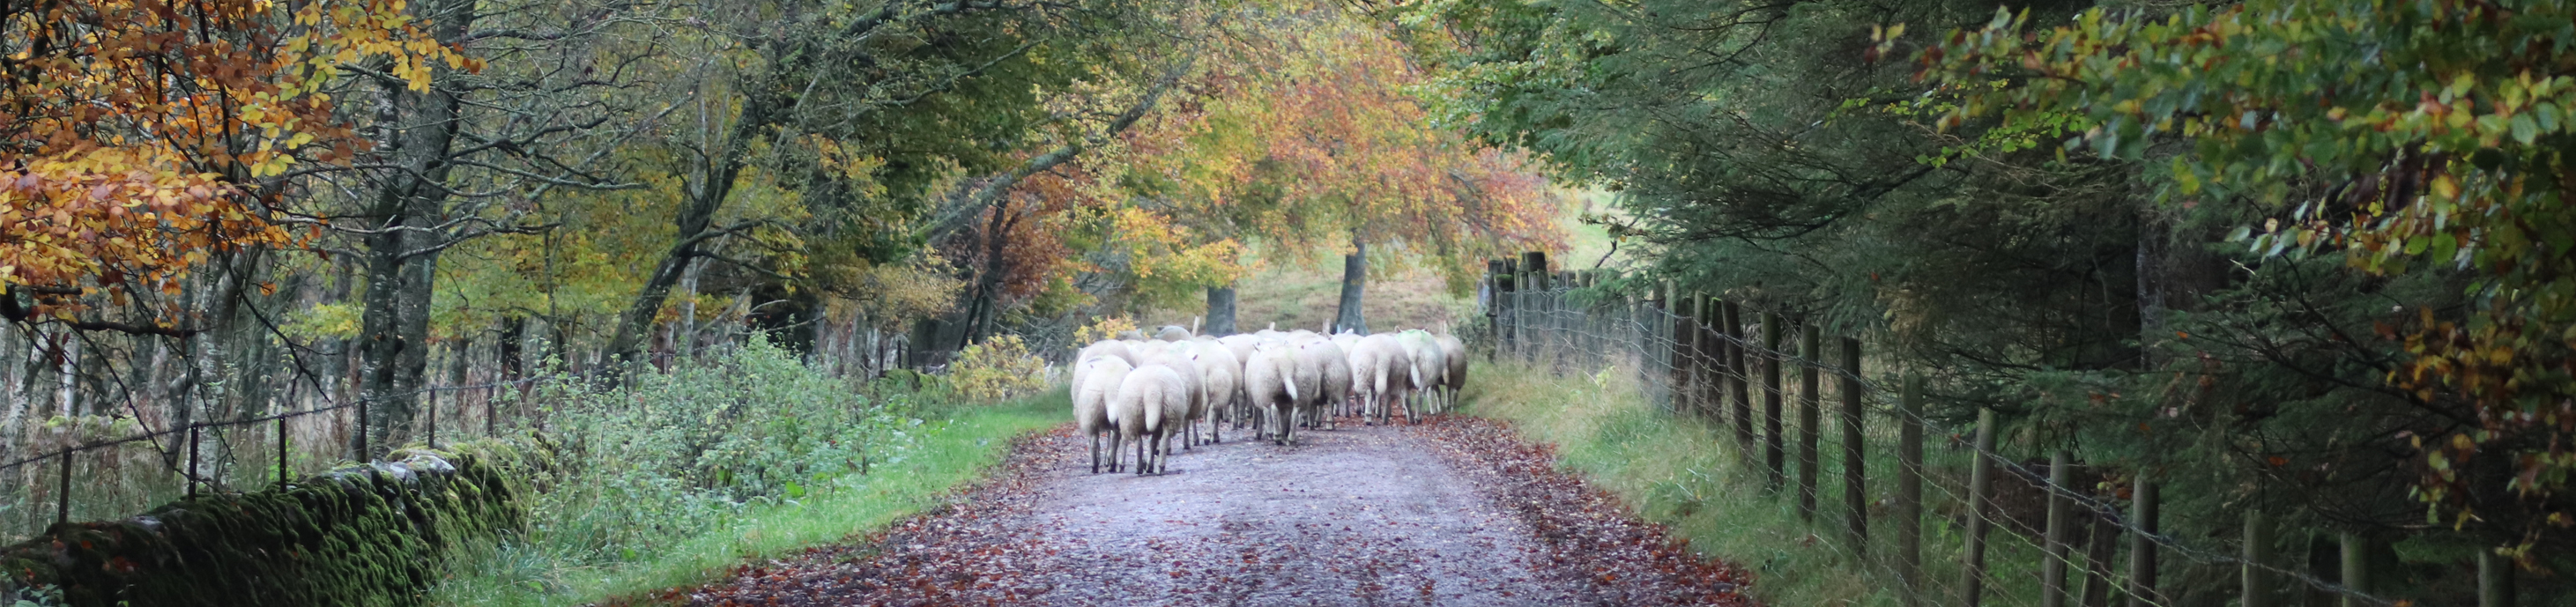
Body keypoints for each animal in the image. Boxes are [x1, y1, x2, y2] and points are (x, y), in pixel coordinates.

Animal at [1074, 357, 1134, 474]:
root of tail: (1112, 387)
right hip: (1126, 415)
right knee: (1121, 440)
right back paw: (1117, 465)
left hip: (1091, 415)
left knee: (1094, 440)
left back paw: (1095, 466)